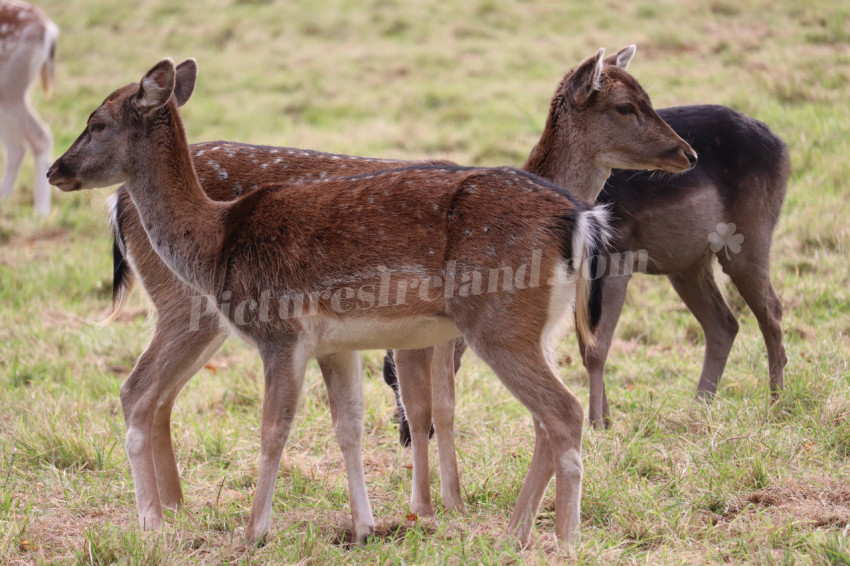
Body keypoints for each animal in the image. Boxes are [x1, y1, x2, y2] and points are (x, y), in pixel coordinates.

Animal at [46, 53, 692, 552]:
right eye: (627, 105)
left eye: (95, 121)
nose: (56, 169)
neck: (216, 237)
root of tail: (580, 219)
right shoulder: (344, 342)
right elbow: (362, 422)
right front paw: (377, 523)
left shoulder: (285, 332)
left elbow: (282, 427)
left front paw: (258, 533)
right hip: (529, 327)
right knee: (145, 391)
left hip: (500, 323)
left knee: (560, 412)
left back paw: (559, 538)